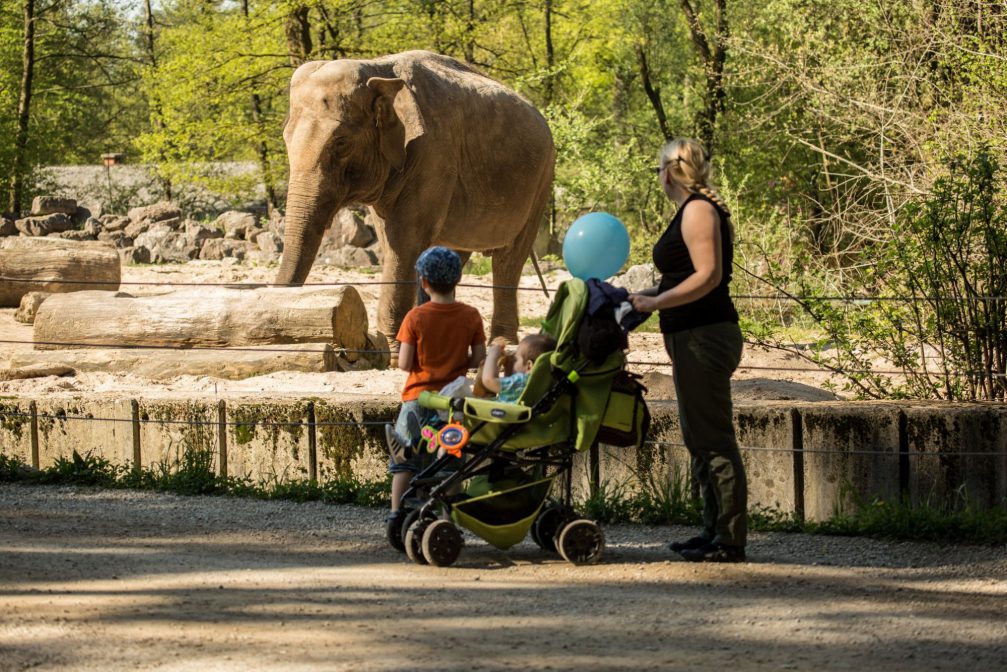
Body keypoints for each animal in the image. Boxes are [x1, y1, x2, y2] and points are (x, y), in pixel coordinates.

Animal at [279, 48, 555, 352]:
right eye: (285, 137)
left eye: (341, 143)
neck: (377, 69)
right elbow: (391, 240)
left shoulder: (434, 154)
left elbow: (404, 239)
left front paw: (390, 346)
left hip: (541, 180)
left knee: (509, 258)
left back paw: (502, 343)